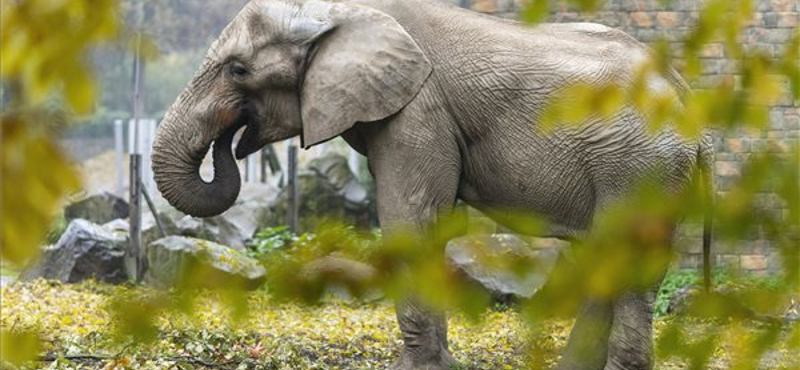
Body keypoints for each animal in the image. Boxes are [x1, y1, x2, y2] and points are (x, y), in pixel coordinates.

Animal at [153, 0, 716, 370]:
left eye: (238, 70)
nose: (234, 139)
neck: (340, 10)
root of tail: (689, 100)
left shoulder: (418, 108)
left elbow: (411, 215)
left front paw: (419, 369)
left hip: (638, 166)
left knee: (628, 262)